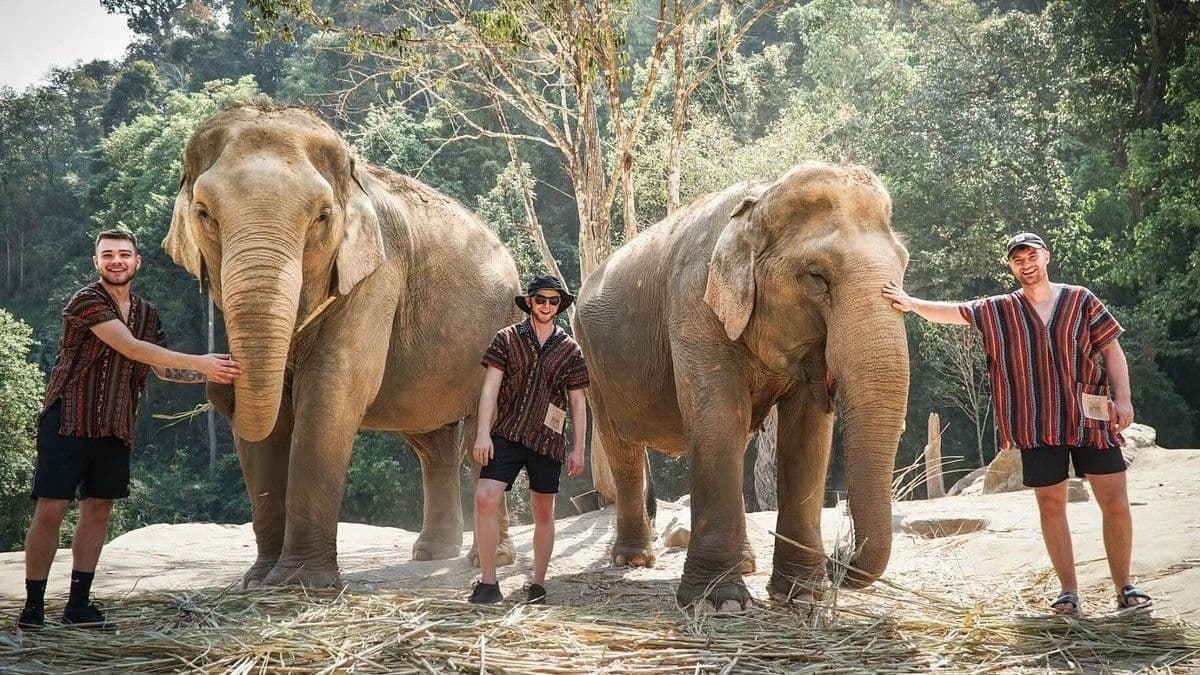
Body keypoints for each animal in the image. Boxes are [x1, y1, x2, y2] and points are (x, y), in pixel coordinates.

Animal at [163, 105, 522, 587]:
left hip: (506, 324)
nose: (219, 385)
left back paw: (488, 560)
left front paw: (300, 584)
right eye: (204, 213)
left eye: (322, 216)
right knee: (433, 443)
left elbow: (331, 391)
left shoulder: (377, 275)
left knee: (480, 434)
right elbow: (272, 418)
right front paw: (259, 581)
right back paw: (431, 554)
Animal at [573, 162, 910, 610]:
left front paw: (802, 595)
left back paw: (747, 564)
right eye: (816, 276)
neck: (759, 202)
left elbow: (805, 434)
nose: (840, 556)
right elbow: (719, 418)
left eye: (903, 266)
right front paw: (719, 602)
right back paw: (634, 560)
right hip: (593, 363)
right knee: (621, 447)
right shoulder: (694, 303)